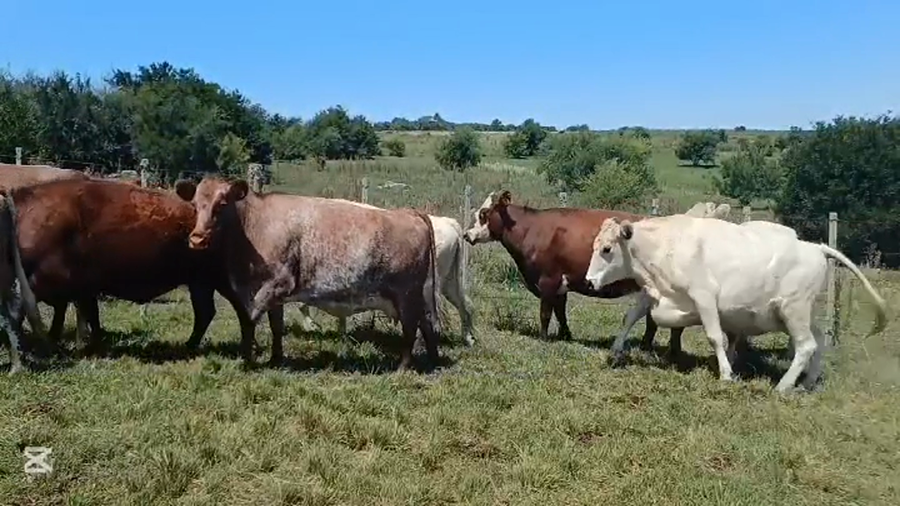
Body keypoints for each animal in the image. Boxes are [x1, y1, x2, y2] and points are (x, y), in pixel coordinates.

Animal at [8, 177, 247, 352]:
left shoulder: (45, 283)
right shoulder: (80, 288)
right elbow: (86, 314)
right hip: (200, 283)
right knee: (206, 312)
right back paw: (190, 345)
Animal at [174, 176, 442, 371]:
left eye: (222, 204)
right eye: (195, 205)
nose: (197, 239)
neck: (254, 226)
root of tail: (408, 212)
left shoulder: (277, 283)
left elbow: (249, 319)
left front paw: (246, 359)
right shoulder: (274, 293)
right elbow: (276, 325)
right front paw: (275, 359)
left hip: (406, 293)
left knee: (411, 326)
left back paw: (403, 367)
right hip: (415, 295)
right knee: (426, 323)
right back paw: (433, 360)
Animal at [295, 200, 474, 347]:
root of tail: (448, 222)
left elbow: (303, 304)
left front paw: (313, 326)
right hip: (449, 282)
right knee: (464, 304)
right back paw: (469, 338)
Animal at [584, 213, 888, 392]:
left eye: (607, 249)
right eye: (595, 246)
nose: (588, 281)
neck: (667, 246)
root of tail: (816, 246)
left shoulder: (704, 297)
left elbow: (715, 336)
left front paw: (726, 374)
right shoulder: (654, 293)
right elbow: (630, 316)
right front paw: (615, 350)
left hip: (794, 310)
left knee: (806, 346)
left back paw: (783, 387)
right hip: (798, 314)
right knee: (819, 339)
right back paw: (808, 382)